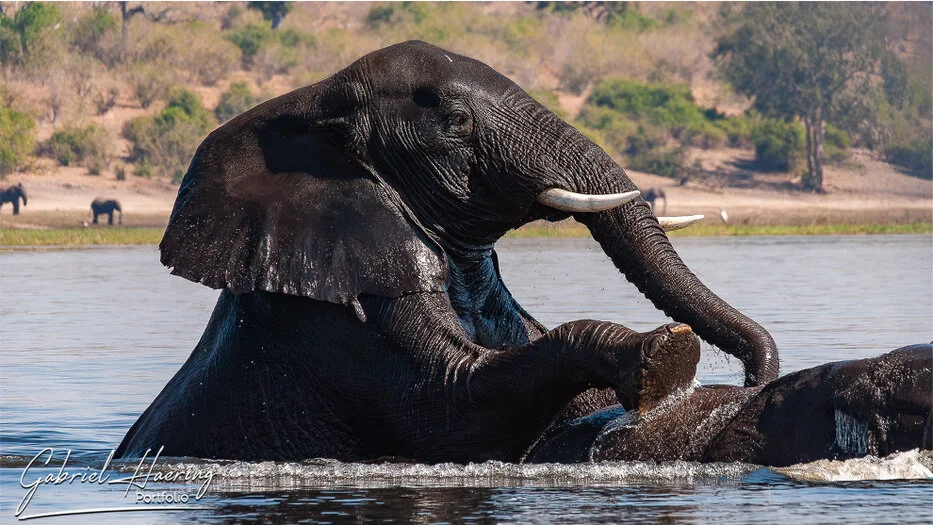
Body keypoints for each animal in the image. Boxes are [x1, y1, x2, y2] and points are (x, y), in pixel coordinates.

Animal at [117, 41, 778, 463]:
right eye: (456, 122)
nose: (755, 374)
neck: (315, 101)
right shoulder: (335, 318)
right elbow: (452, 407)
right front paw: (665, 353)